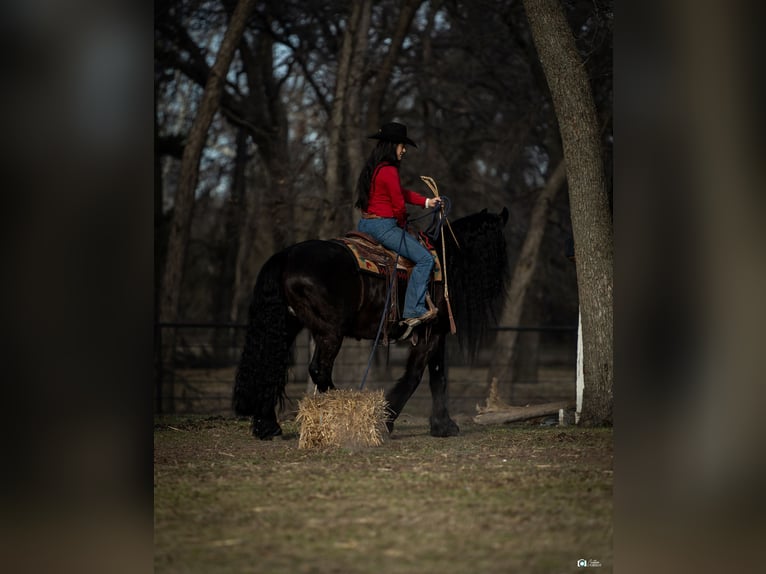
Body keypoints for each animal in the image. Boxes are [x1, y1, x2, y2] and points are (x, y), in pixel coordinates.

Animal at [234, 209, 510, 438]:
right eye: (500, 246)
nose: (499, 285)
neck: (443, 260)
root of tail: (286, 256)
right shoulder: (432, 334)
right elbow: (416, 375)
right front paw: (386, 421)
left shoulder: (434, 332)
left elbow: (437, 376)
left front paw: (442, 425)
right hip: (330, 331)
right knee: (319, 370)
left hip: (288, 326)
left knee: (270, 366)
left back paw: (268, 426)